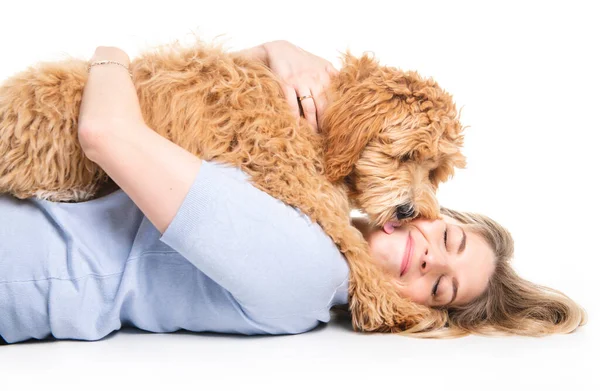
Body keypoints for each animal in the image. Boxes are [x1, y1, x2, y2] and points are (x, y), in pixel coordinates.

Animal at [0, 39, 466, 334]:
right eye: (405, 156)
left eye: (436, 170)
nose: (410, 212)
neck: (324, 120)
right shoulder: (298, 178)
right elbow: (353, 244)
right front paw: (397, 309)